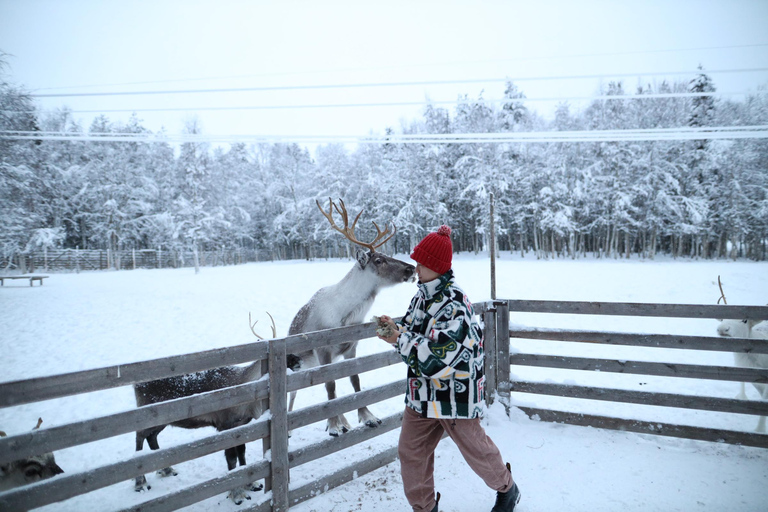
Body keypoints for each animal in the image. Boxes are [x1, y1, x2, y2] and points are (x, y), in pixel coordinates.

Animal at [131, 315, 275, 505]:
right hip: (148, 415)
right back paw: (140, 483)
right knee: (139, 437)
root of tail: (136, 385)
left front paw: (251, 484)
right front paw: (236, 494)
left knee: (151, 437)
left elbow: (241, 452)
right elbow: (231, 458)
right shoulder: (224, 425)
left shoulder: (241, 425)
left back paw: (167, 470)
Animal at [287, 198, 416, 436]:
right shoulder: (323, 349)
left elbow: (354, 380)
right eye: (379, 260)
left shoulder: (352, 345)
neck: (346, 315)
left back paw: (344, 421)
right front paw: (333, 425)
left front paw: (367, 417)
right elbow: (330, 385)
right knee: (293, 392)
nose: (410, 268)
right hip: (297, 364)